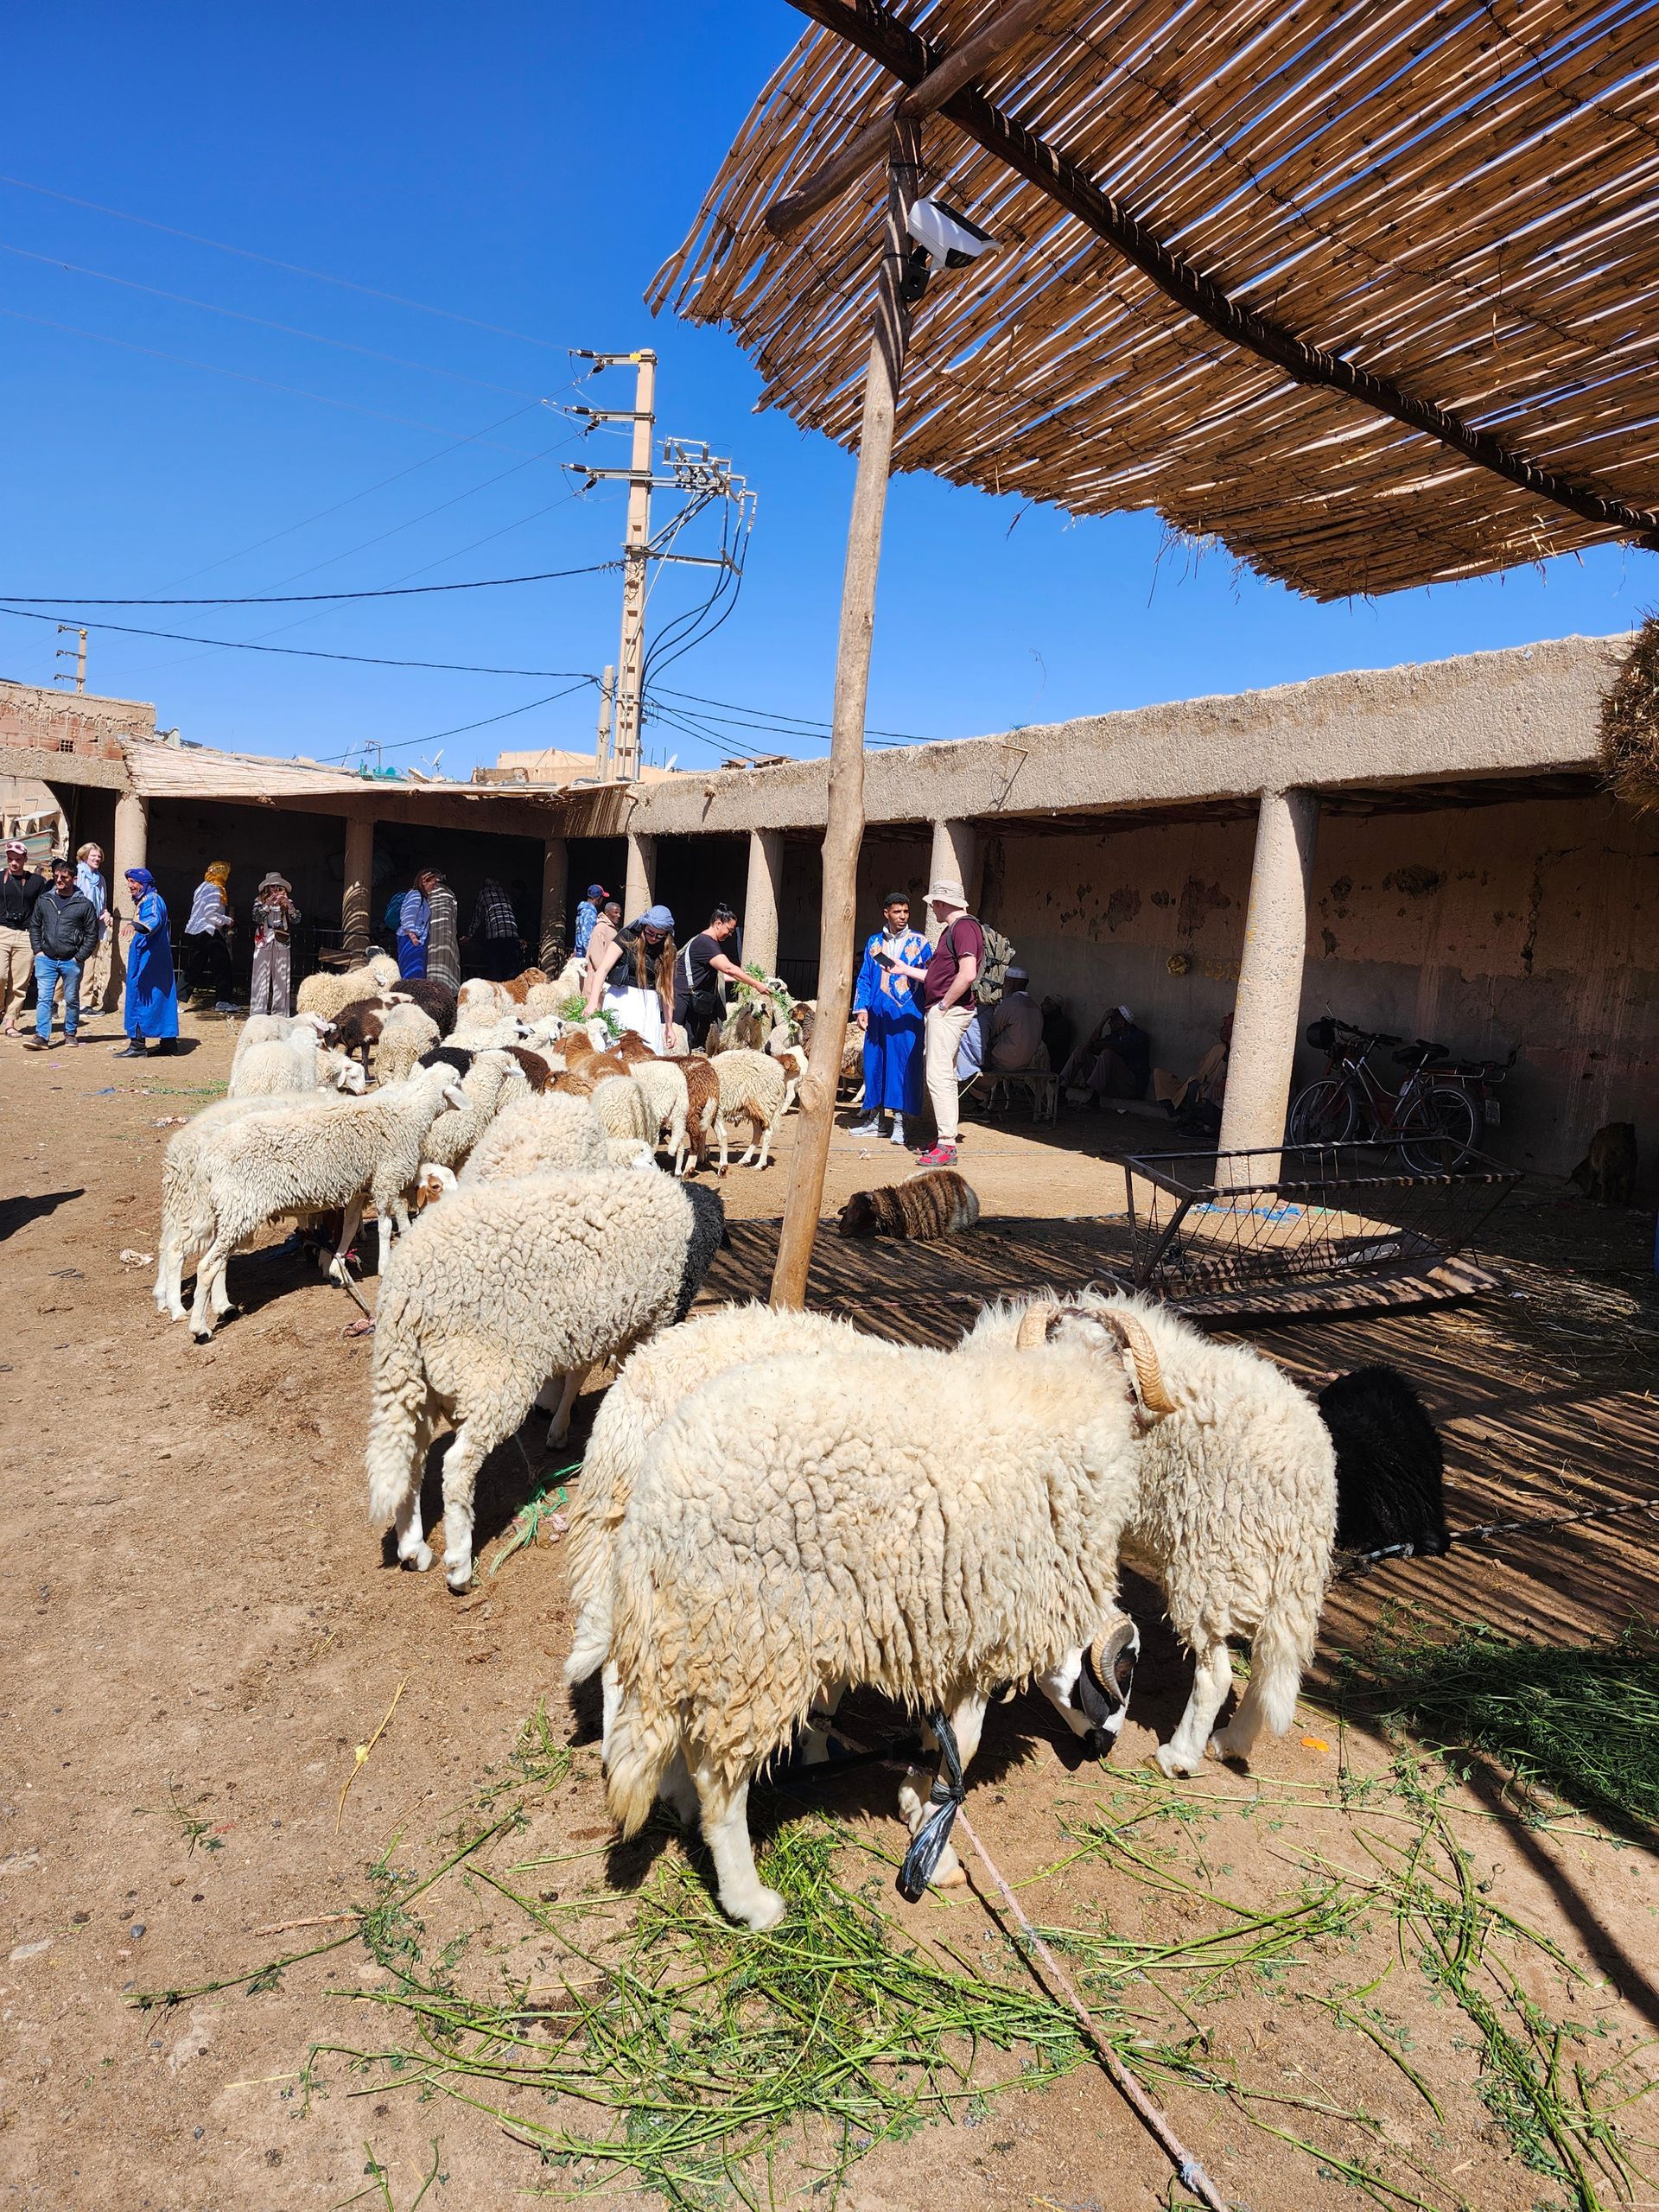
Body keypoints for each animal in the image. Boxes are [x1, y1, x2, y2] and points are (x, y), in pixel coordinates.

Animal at [183, 1062, 469, 1339]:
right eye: (457, 1082)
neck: (409, 1113)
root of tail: (209, 1157)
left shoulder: (359, 1188)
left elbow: (350, 1228)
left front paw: (337, 1268)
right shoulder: (386, 1178)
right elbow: (386, 1227)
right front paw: (384, 1265)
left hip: (231, 1210)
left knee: (220, 1261)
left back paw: (223, 1306)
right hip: (240, 1205)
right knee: (207, 1266)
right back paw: (200, 1328)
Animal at [365, 1169, 727, 1592]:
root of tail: (405, 1290)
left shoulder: (591, 1323)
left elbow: (580, 1375)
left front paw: (560, 1428)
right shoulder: (654, 1319)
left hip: (412, 1379)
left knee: (409, 1458)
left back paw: (414, 1549)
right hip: (493, 1375)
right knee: (456, 1467)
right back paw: (459, 1566)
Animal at [602, 1306, 1156, 1929]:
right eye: (1127, 1669)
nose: (1105, 1748)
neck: (1064, 1384)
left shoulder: (944, 1632)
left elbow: (937, 1734)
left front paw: (916, 1793)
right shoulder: (984, 1628)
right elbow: (965, 1745)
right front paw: (935, 1840)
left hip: (693, 1626)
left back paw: (680, 1799)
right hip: (757, 1642)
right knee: (719, 1782)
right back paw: (753, 1902)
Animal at [710, 1048, 788, 1170]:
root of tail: (778, 1070)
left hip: (765, 1103)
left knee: (768, 1132)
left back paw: (760, 1164)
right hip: (753, 1110)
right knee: (758, 1132)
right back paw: (745, 1159)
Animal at [966, 1290, 1336, 1778]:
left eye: (1116, 1357)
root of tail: (1307, 1480)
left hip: (1211, 1563)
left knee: (1217, 1673)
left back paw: (1178, 1758)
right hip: (1270, 1577)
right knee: (1264, 1665)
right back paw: (1232, 1742)